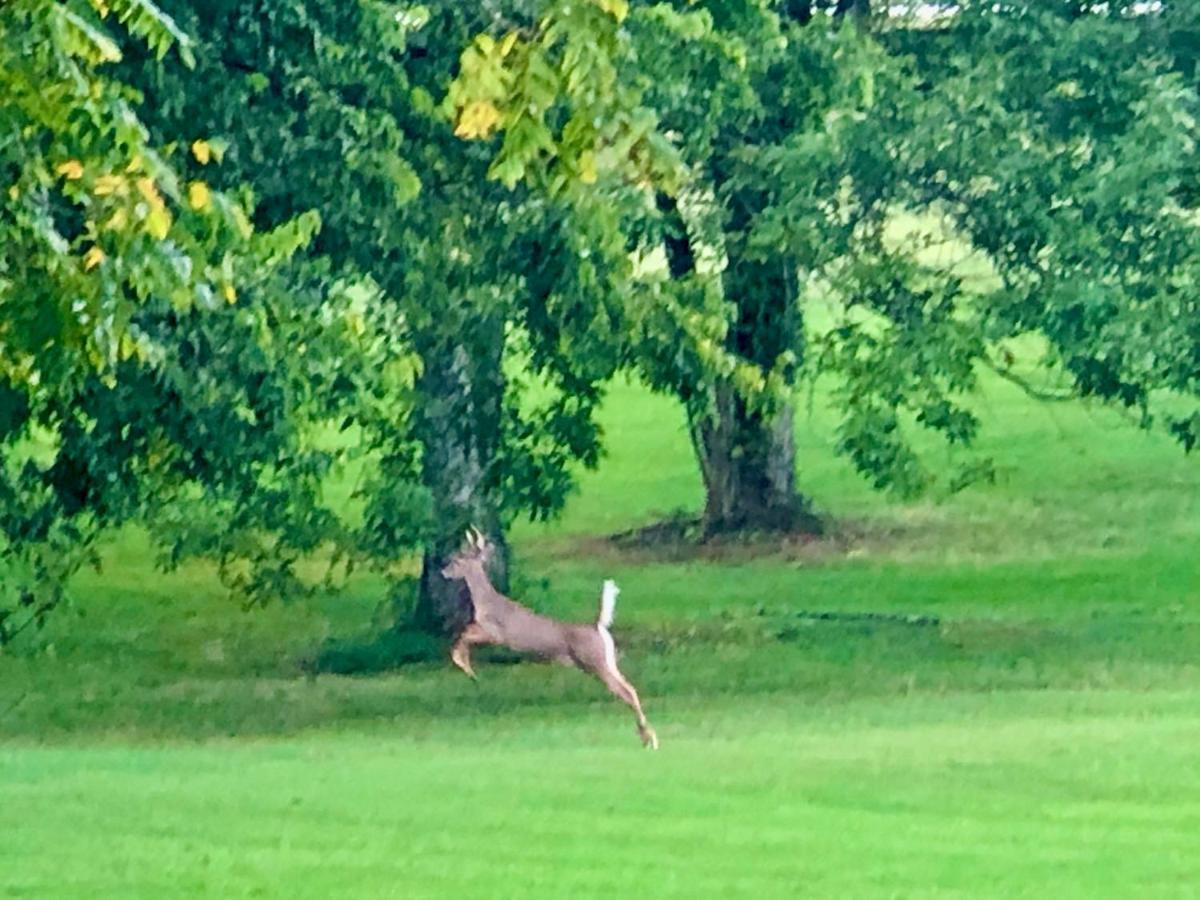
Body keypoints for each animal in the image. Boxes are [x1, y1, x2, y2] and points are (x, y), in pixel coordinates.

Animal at [441, 525, 662, 748]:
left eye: (457, 560)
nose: (443, 572)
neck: (485, 601)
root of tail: (598, 626)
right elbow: (463, 633)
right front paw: (467, 668)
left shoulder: (496, 633)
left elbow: (463, 636)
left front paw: (463, 664)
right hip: (606, 662)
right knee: (631, 688)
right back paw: (648, 737)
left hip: (595, 662)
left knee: (627, 692)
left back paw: (649, 738)